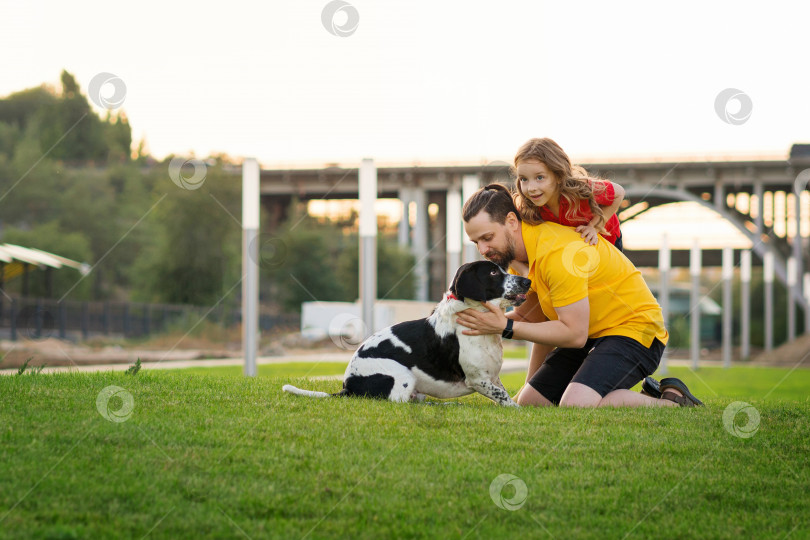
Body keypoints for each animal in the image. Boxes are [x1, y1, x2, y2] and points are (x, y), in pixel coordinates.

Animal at [282, 260, 532, 404]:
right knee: (399, 401)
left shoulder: (493, 378)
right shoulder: (478, 379)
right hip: (403, 376)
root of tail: (347, 386)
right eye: (493, 273)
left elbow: (504, 394)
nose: (527, 281)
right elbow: (507, 400)